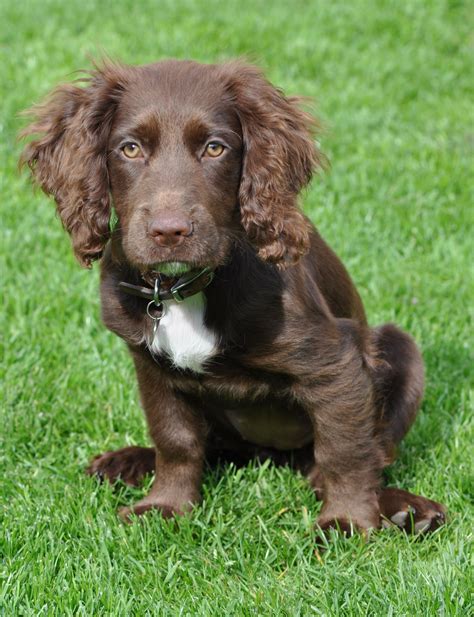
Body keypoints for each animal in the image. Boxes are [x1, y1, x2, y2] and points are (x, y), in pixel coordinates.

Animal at [20, 60, 446, 536]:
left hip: (402, 351)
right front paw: (165, 506)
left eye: (214, 148)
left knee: (364, 452)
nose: (170, 232)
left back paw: (405, 509)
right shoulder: (151, 367)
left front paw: (347, 523)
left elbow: (345, 450)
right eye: (129, 149)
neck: (184, 290)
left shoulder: (336, 362)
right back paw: (127, 461)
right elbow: (175, 440)